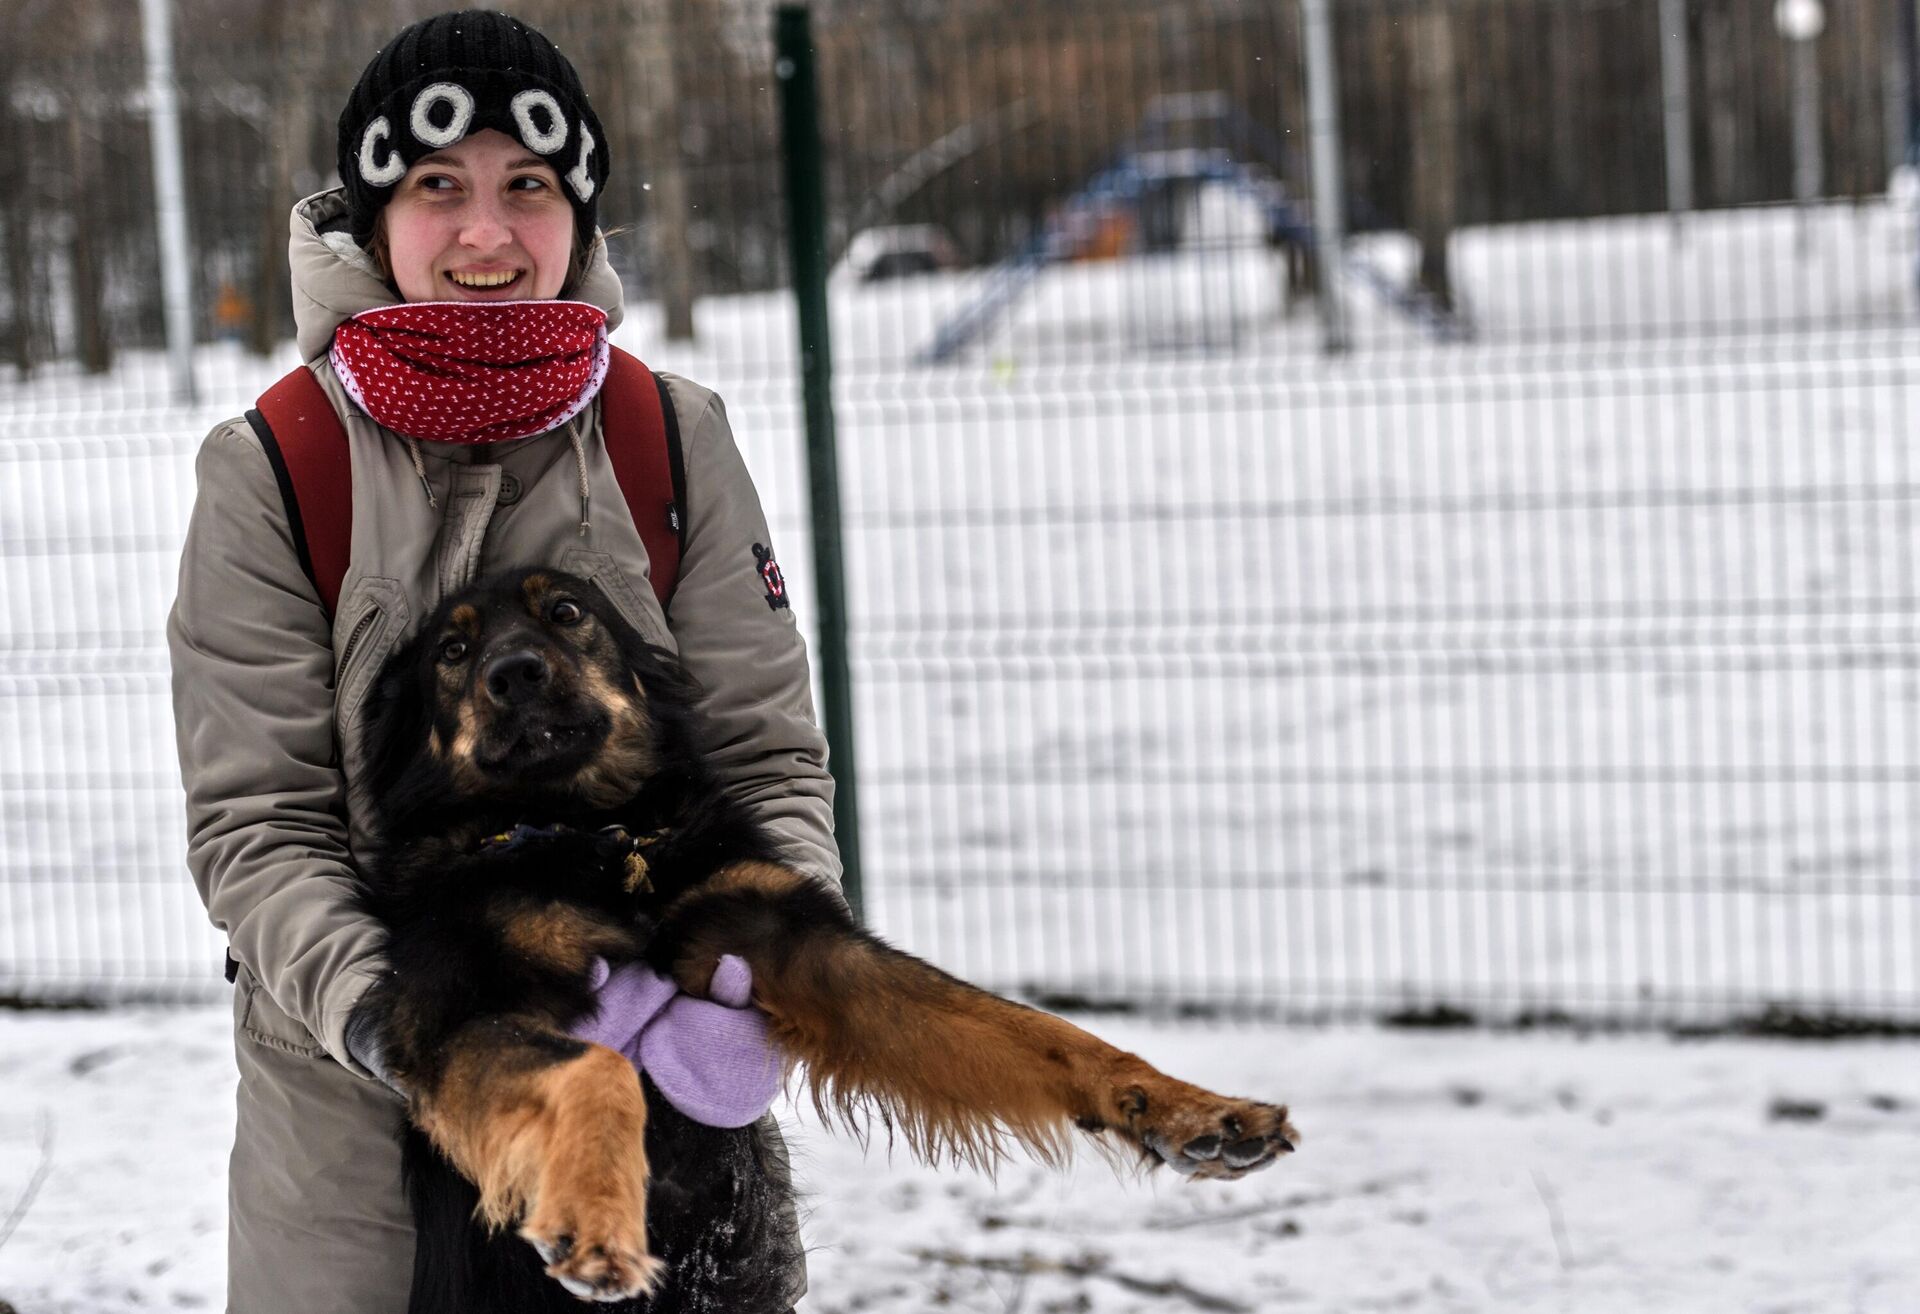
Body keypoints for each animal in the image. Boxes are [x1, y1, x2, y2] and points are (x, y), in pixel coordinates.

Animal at [353, 568, 1297, 1314]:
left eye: (567, 612)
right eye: (451, 652)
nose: (513, 673)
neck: (599, 835)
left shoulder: (807, 948)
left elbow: (1038, 1030)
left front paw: (1192, 1108)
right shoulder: (451, 1012)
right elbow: (601, 1068)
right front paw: (594, 1214)